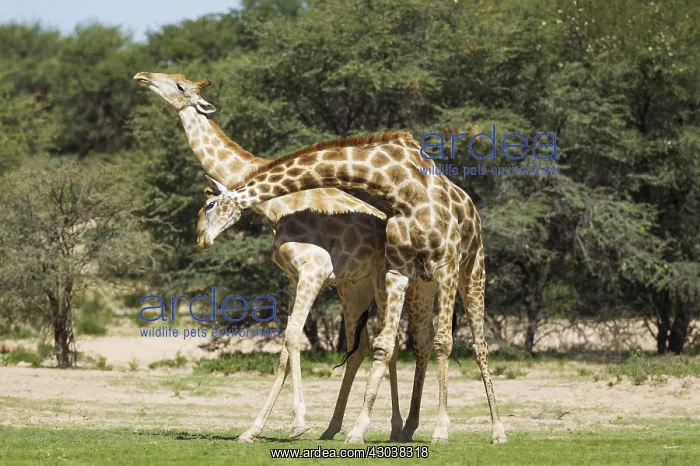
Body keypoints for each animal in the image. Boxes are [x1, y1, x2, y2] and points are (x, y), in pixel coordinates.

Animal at [132, 72, 437, 442]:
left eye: (179, 86)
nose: (142, 76)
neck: (276, 205)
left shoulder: (313, 271)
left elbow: (292, 338)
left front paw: (297, 422)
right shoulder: (295, 277)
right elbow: (285, 347)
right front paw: (253, 429)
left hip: (392, 286)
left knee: (400, 344)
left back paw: (394, 427)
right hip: (353, 289)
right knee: (364, 345)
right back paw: (336, 427)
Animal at [195, 132, 508, 445]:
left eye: (209, 206)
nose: (201, 238)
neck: (399, 187)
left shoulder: (444, 266)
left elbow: (445, 343)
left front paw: (441, 431)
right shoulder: (398, 270)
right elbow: (383, 346)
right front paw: (357, 429)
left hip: (469, 271)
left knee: (477, 346)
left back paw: (497, 430)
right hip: (418, 287)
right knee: (420, 343)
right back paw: (406, 428)